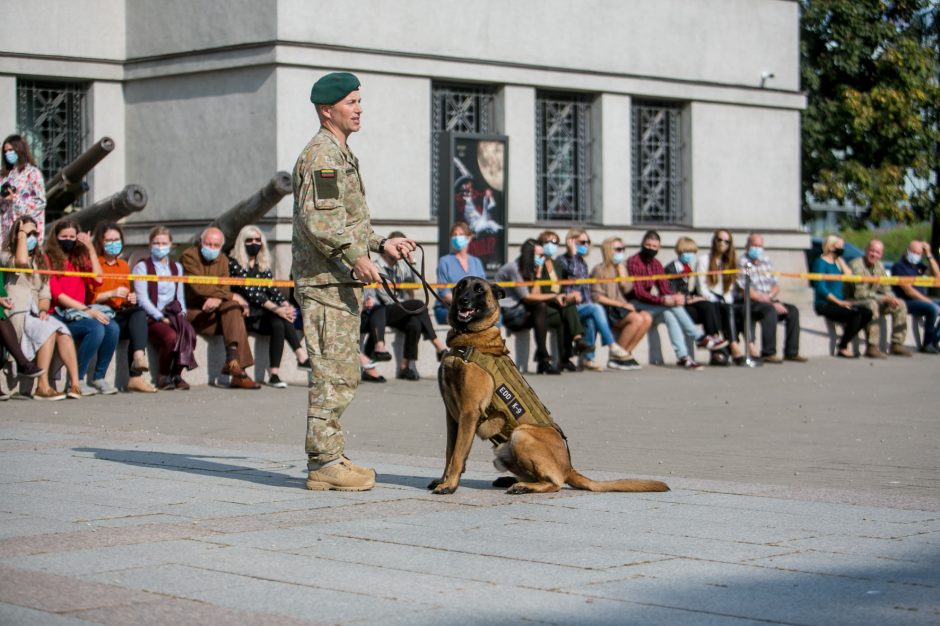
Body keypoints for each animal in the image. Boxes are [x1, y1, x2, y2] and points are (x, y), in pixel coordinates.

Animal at [430, 276, 672, 494]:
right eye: (461, 286)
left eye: (479, 290)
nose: (463, 300)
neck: (470, 338)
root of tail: (569, 467)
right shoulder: (453, 416)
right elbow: (450, 452)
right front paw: (444, 480)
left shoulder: (469, 412)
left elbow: (458, 454)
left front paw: (449, 485)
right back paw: (511, 481)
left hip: (521, 434)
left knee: (555, 482)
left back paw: (524, 486)